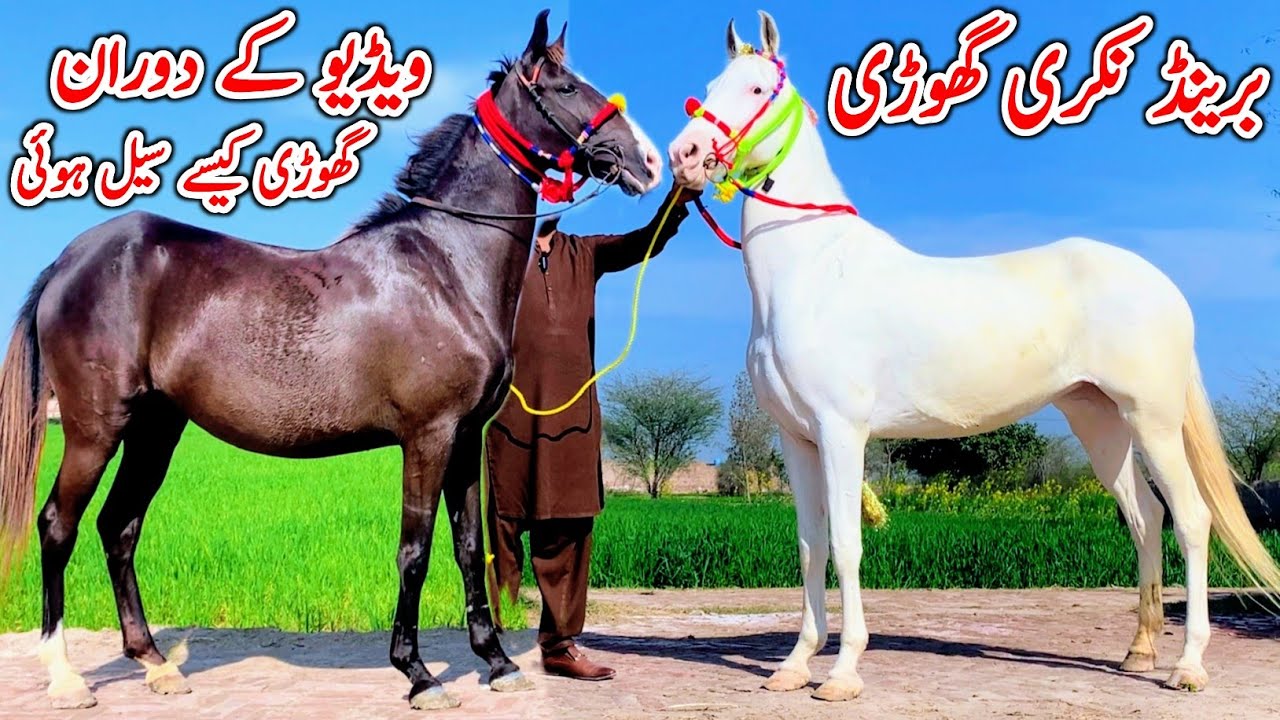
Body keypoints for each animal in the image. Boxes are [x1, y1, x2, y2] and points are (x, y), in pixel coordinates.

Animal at [0, 9, 661, 710]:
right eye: (564, 87)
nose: (648, 161)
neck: (446, 265)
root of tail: (71, 259)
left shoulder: (464, 439)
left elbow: (466, 545)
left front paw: (498, 662)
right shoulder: (428, 437)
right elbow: (414, 552)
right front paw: (418, 674)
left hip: (156, 429)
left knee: (118, 527)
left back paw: (154, 663)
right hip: (95, 429)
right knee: (59, 526)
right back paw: (66, 677)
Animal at [668, 10, 1280, 702]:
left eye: (752, 89)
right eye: (710, 85)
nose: (683, 156)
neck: (813, 271)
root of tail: (1163, 285)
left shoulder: (841, 432)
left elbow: (848, 545)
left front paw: (843, 673)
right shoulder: (798, 439)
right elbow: (810, 548)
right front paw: (795, 665)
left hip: (1153, 421)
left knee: (1192, 520)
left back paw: (1188, 666)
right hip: (1099, 422)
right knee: (1146, 518)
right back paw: (1138, 652)